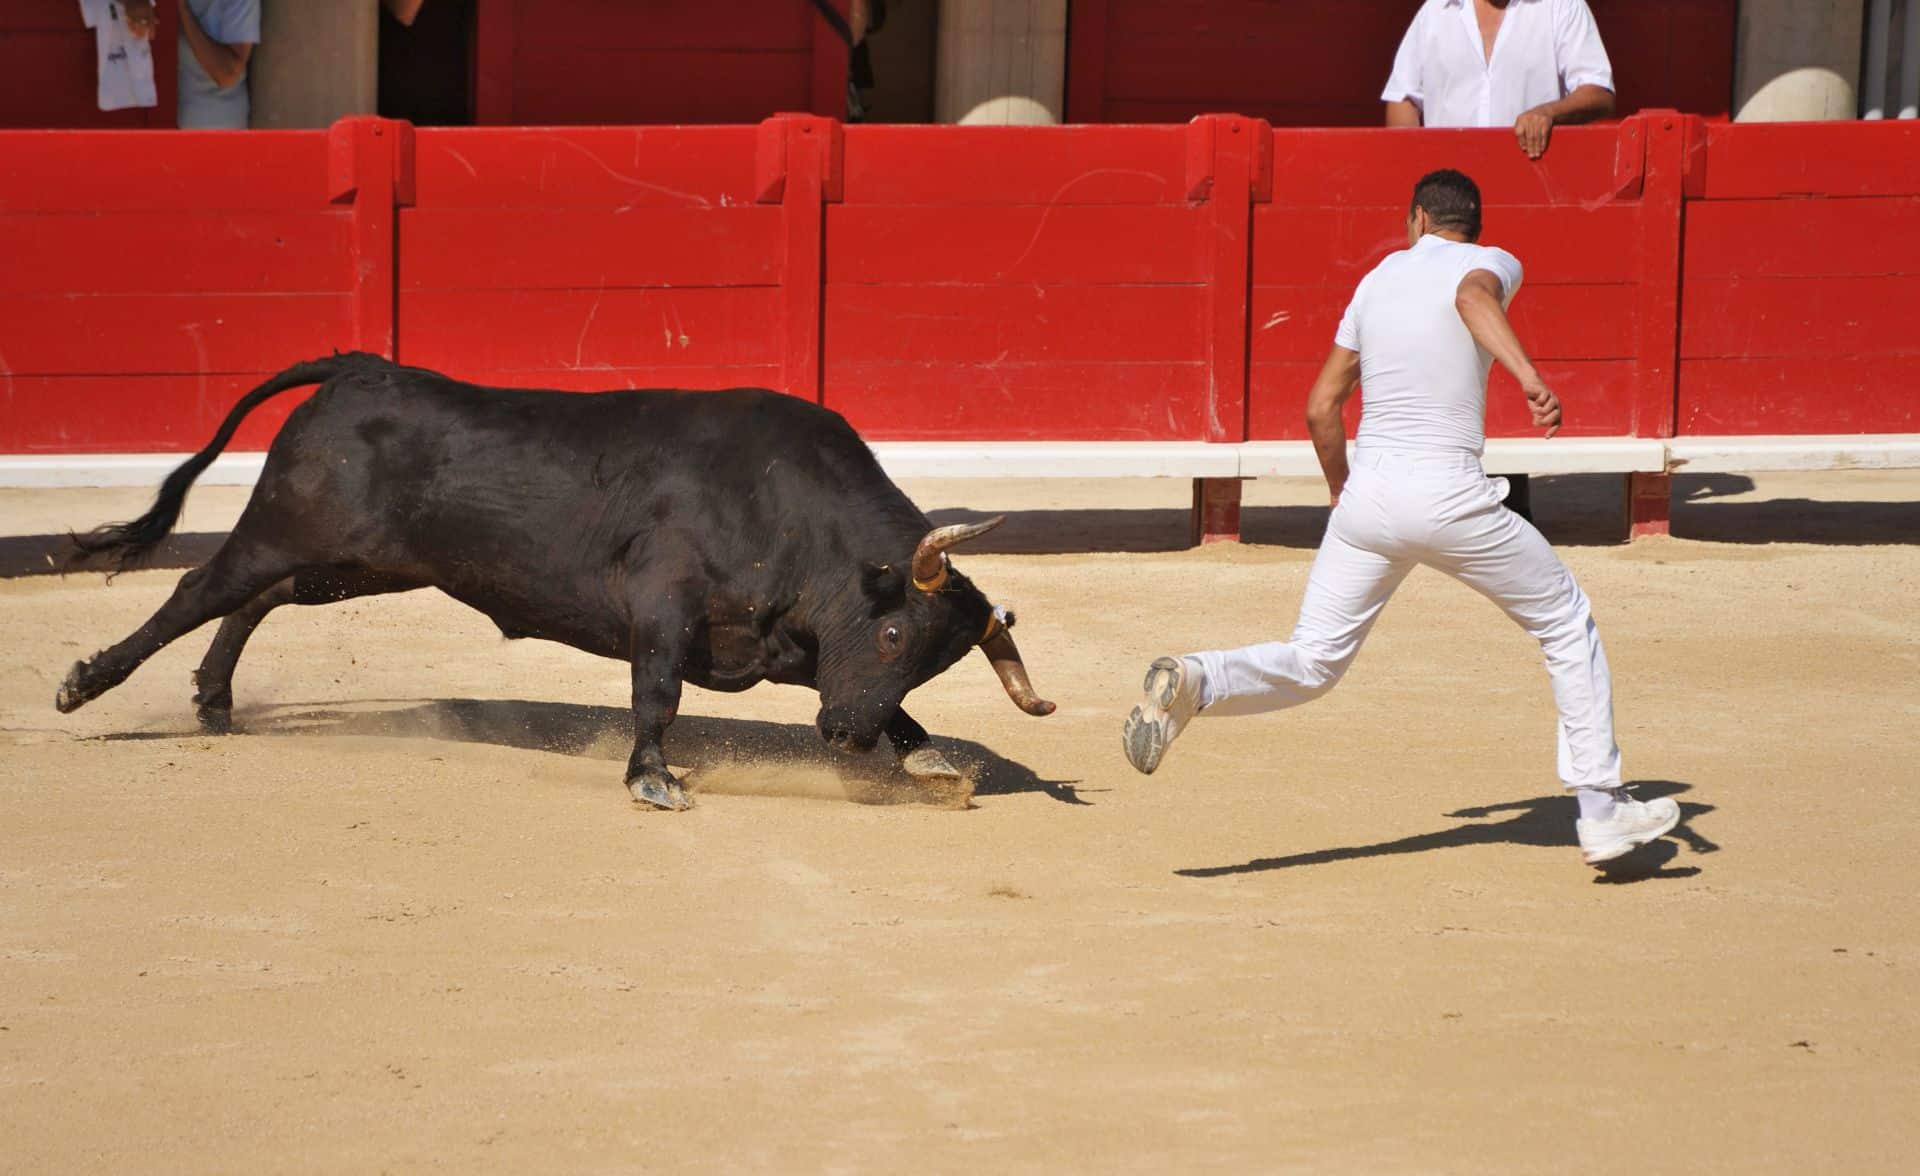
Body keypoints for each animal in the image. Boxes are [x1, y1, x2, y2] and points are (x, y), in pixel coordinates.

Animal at [56, 351, 1052, 807]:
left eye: (929, 659)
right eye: (892, 632)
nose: (846, 737)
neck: (794, 514)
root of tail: (358, 366)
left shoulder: (789, 647)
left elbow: (889, 708)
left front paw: (928, 757)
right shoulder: (664, 602)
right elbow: (656, 693)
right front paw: (653, 779)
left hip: (358, 564)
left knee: (252, 600)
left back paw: (214, 700)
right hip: (286, 530)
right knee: (200, 591)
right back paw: (85, 686)